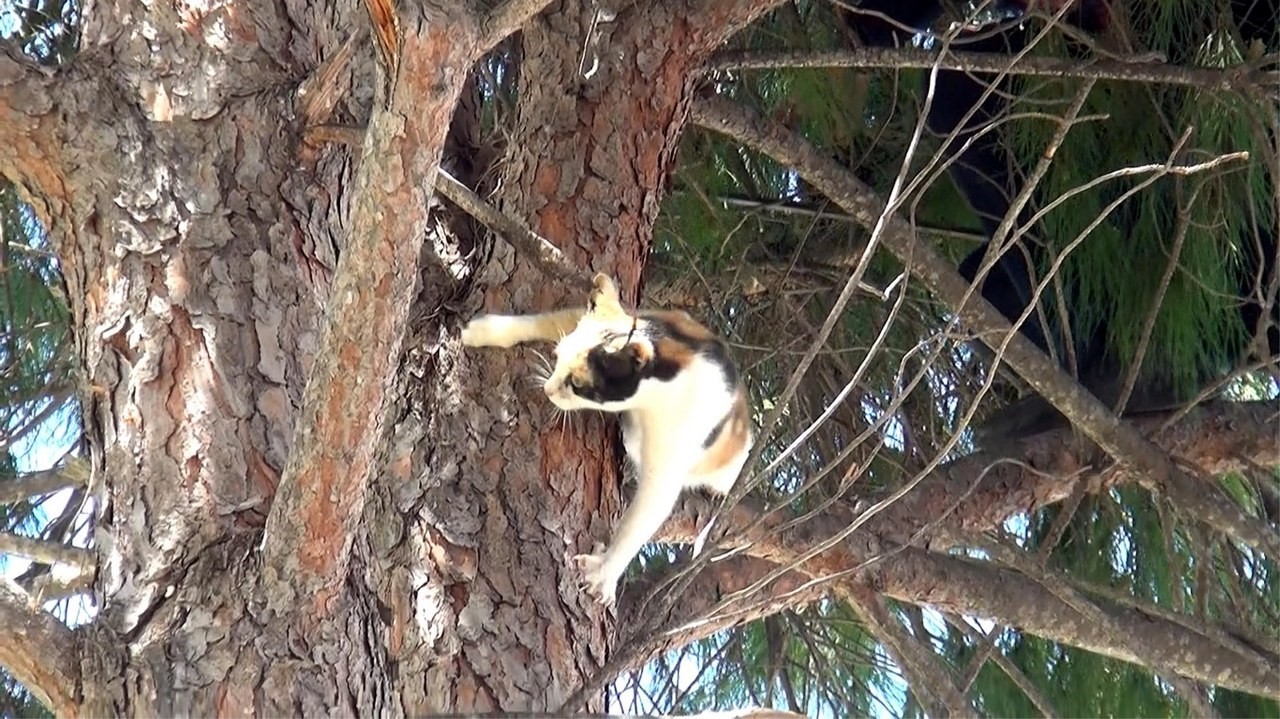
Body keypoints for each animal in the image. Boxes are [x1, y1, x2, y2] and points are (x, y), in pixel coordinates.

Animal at [465, 273, 752, 603]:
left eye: (578, 383)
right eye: (557, 356)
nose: (548, 389)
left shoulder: (669, 462)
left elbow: (641, 521)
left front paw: (603, 573)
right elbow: (543, 321)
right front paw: (486, 330)